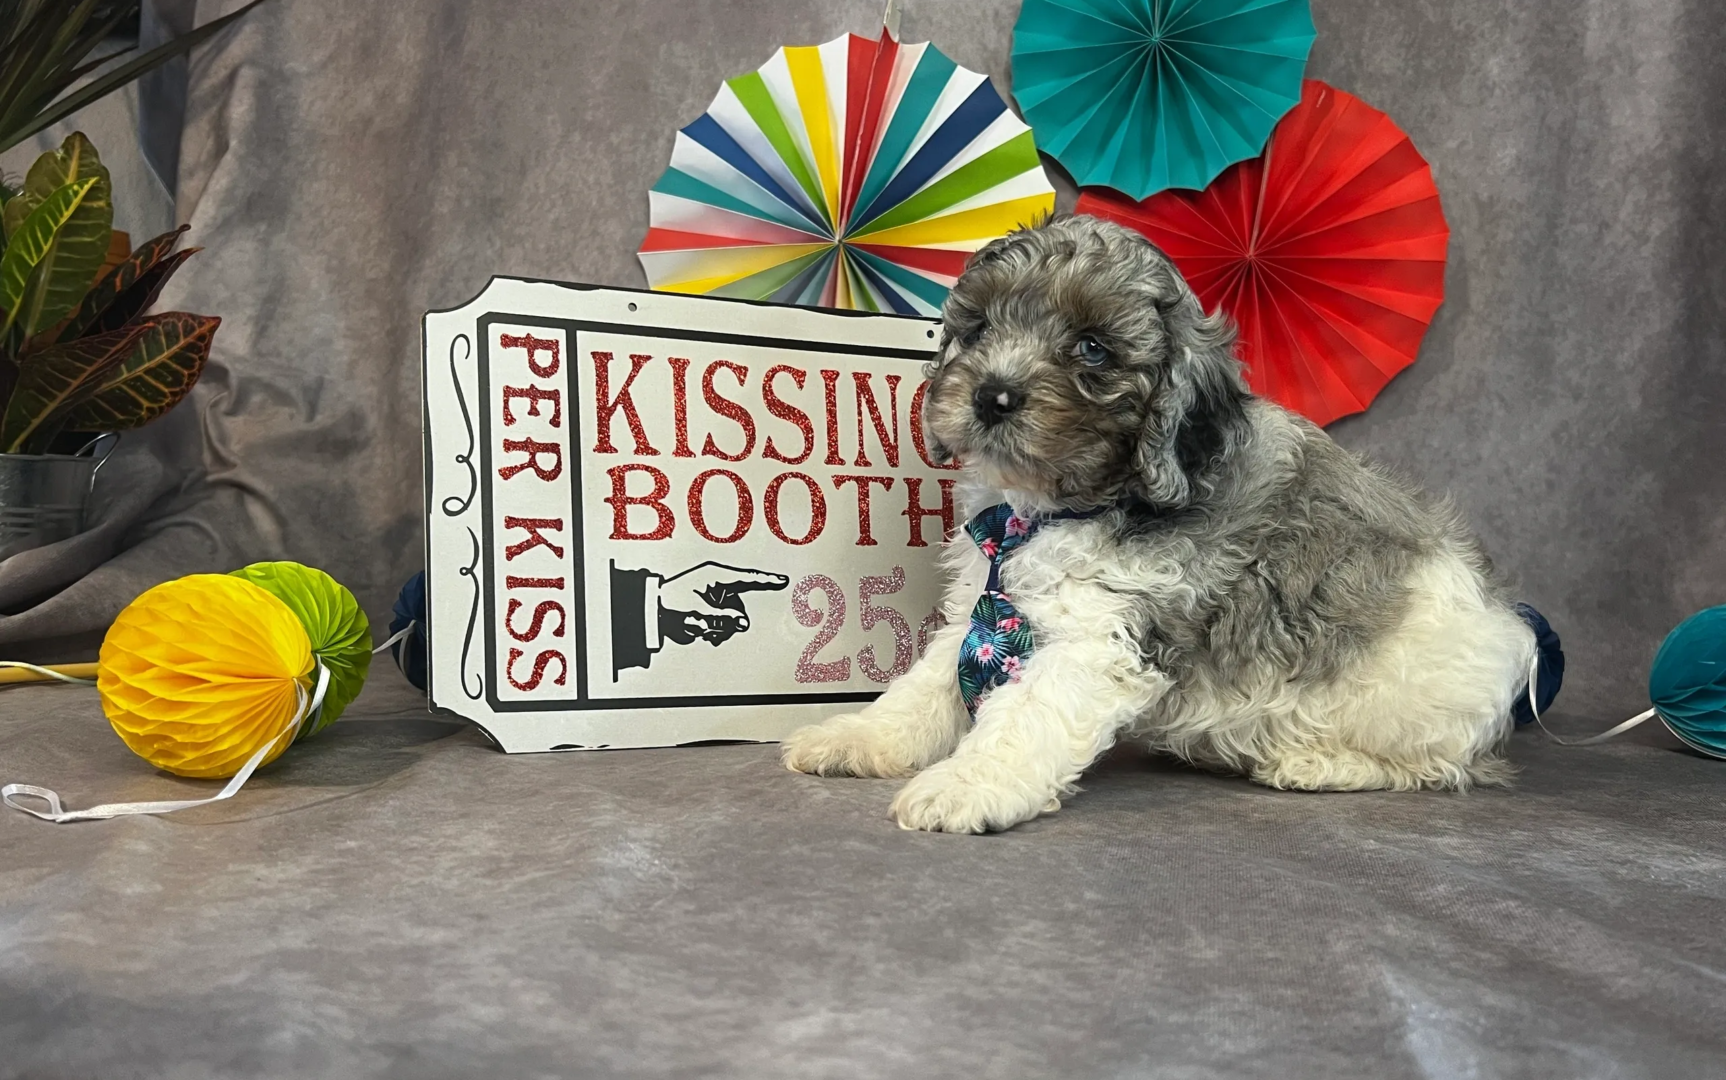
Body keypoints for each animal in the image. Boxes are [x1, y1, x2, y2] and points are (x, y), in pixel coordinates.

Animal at [783, 212, 1539, 831]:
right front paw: (857, 738)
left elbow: (1025, 715)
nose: (992, 395)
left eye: (1092, 348)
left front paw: (965, 785)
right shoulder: (982, 603)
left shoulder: (1105, 638)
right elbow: (926, 685)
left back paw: (1316, 763)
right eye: (980, 329)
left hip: (1427, 700)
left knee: (1442, 767)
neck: (1060, 507)